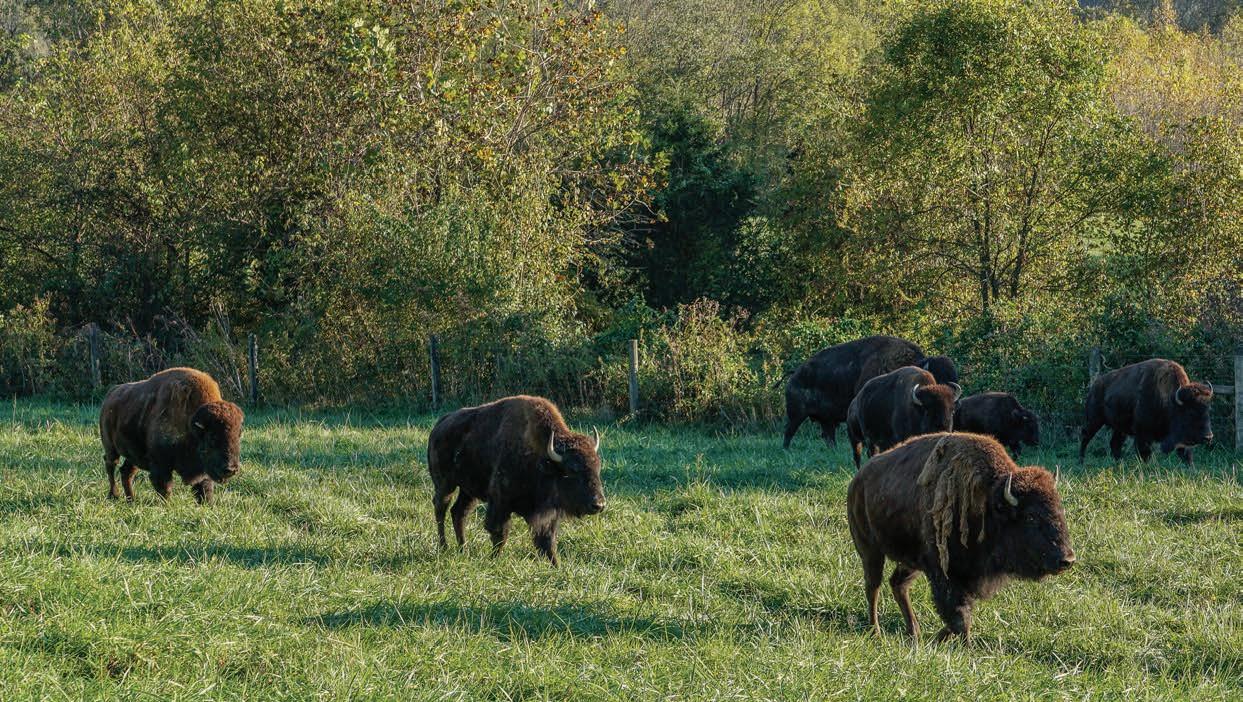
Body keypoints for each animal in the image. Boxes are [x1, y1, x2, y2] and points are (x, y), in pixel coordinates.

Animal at [99, 367, 244, 504]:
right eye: (212, 437)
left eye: (238, 436)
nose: (231, 469)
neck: (190, 423)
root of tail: (111, 394)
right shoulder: (160, 464)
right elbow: (165, 487)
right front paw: (167, 504)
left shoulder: (202, 470)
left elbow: (205, 488)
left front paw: (207, 504)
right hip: (110, 447)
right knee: (110, 464)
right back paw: (114, 496)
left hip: (133, 455)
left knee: (126, 472)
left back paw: (131, 500)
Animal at [427, 395, 605, 566]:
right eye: (572, 471)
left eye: (597, 468)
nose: (599, 505)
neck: (543, 460)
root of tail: (439, 426)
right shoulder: (500, 503)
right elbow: (500, 534)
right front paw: (493, 560)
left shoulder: (547, 516)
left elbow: (548, 542)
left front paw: (557, 567)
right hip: (445, 484)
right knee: (440, 508)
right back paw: (444, 546)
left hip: (469, 492)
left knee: (459, 513)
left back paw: (463, 548)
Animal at [780, 335, 957, 449]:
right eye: (937, 378)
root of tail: (794, 375)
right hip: (797, 414)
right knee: (789, 431)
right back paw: (786, 449)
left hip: (825, 420)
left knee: (828, 435)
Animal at [847, 432, 1075, 643]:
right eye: (1030, 516)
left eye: (1059, 508)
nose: (1067, 559)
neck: (989, 503)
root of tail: (857, 481)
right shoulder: (945, 574)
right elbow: (959, 615)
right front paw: (966, 645)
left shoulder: (969, 576)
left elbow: (959, 614)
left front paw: (939, 638)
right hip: (870, 551)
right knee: (873, 587)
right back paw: (875, 631)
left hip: (911, 561)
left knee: (897, 584)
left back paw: (914, 632)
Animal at [1079, 359, 1214, 466]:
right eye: (1190, 412)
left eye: (1208, 410)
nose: (1208, 437)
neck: (1172, 401)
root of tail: (1094, 386)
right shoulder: (1143, 433)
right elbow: (1145, 452)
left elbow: (1186, 454)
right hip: (1094, 420)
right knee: (1085, 436)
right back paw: (1081, 460)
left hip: (1120, 429)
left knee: (1115, 444)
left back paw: (1118, 463)